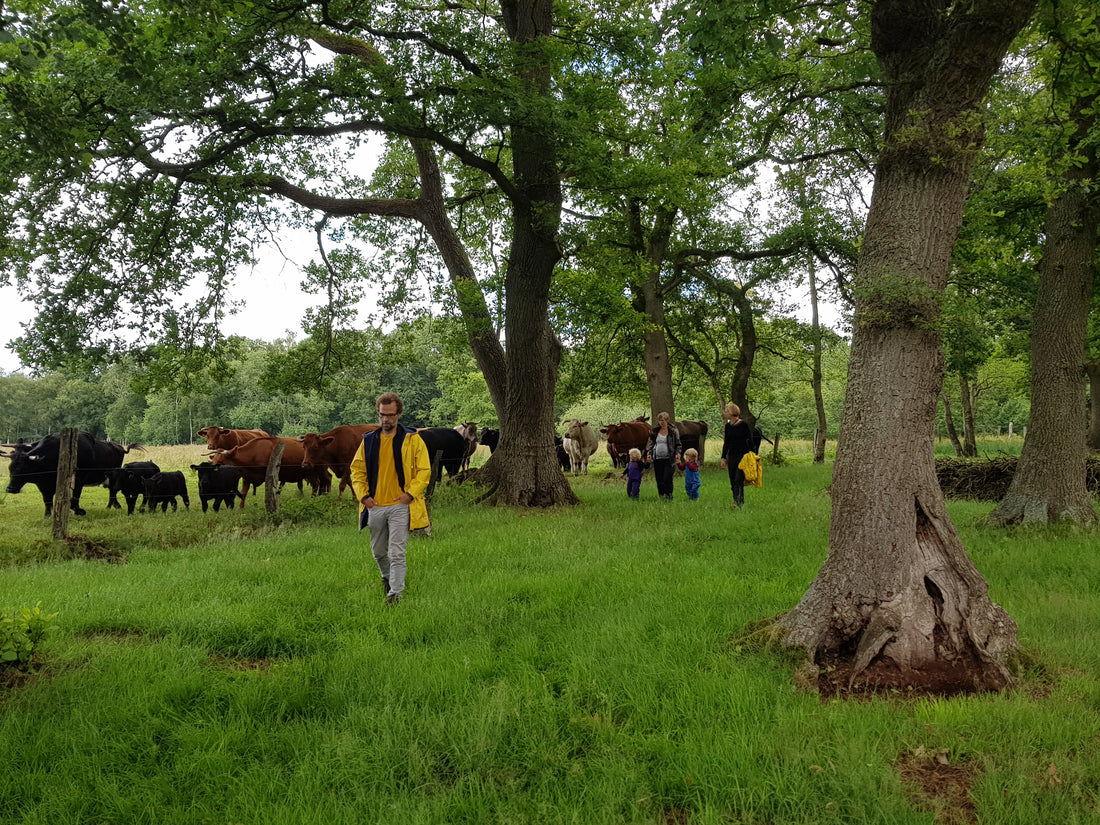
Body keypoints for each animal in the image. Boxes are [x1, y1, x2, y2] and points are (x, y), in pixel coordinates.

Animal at [1, 433, 139, 517]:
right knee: (112, 491)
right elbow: (47, 501)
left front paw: (78, 511)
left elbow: (75, 497)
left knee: (113, 491)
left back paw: (110, 506)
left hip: (114, 477)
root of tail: (120, 447)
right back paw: (114, 505)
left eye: (23, 468)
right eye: (10, 468)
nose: (10, 489)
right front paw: (48, 516)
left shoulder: (79, 479)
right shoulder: (44, 485)